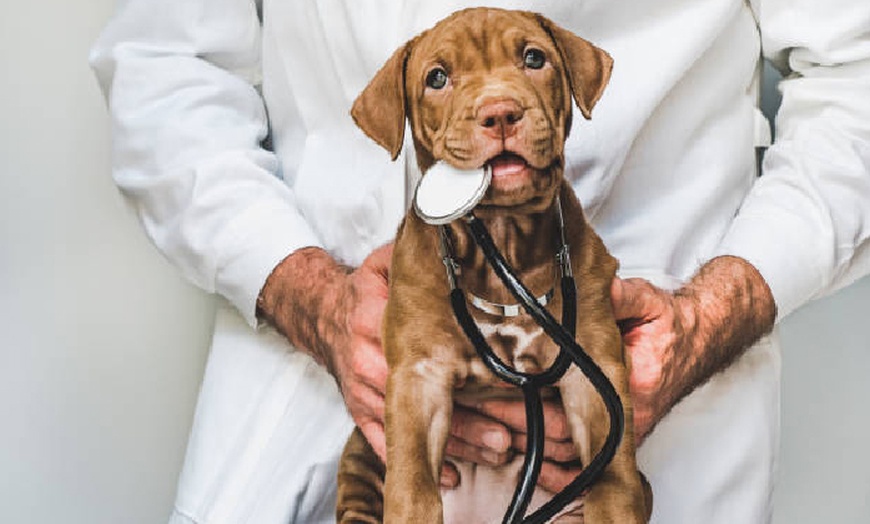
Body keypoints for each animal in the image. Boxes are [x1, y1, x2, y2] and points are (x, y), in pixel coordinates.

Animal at [338, 8, 652, 524]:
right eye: (437, 78)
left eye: (534, 58)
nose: (501, 112)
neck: (502, 241)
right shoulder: (417, 377)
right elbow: (412, 486)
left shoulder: (593, 370)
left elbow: (614, 479)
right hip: (361, 454)